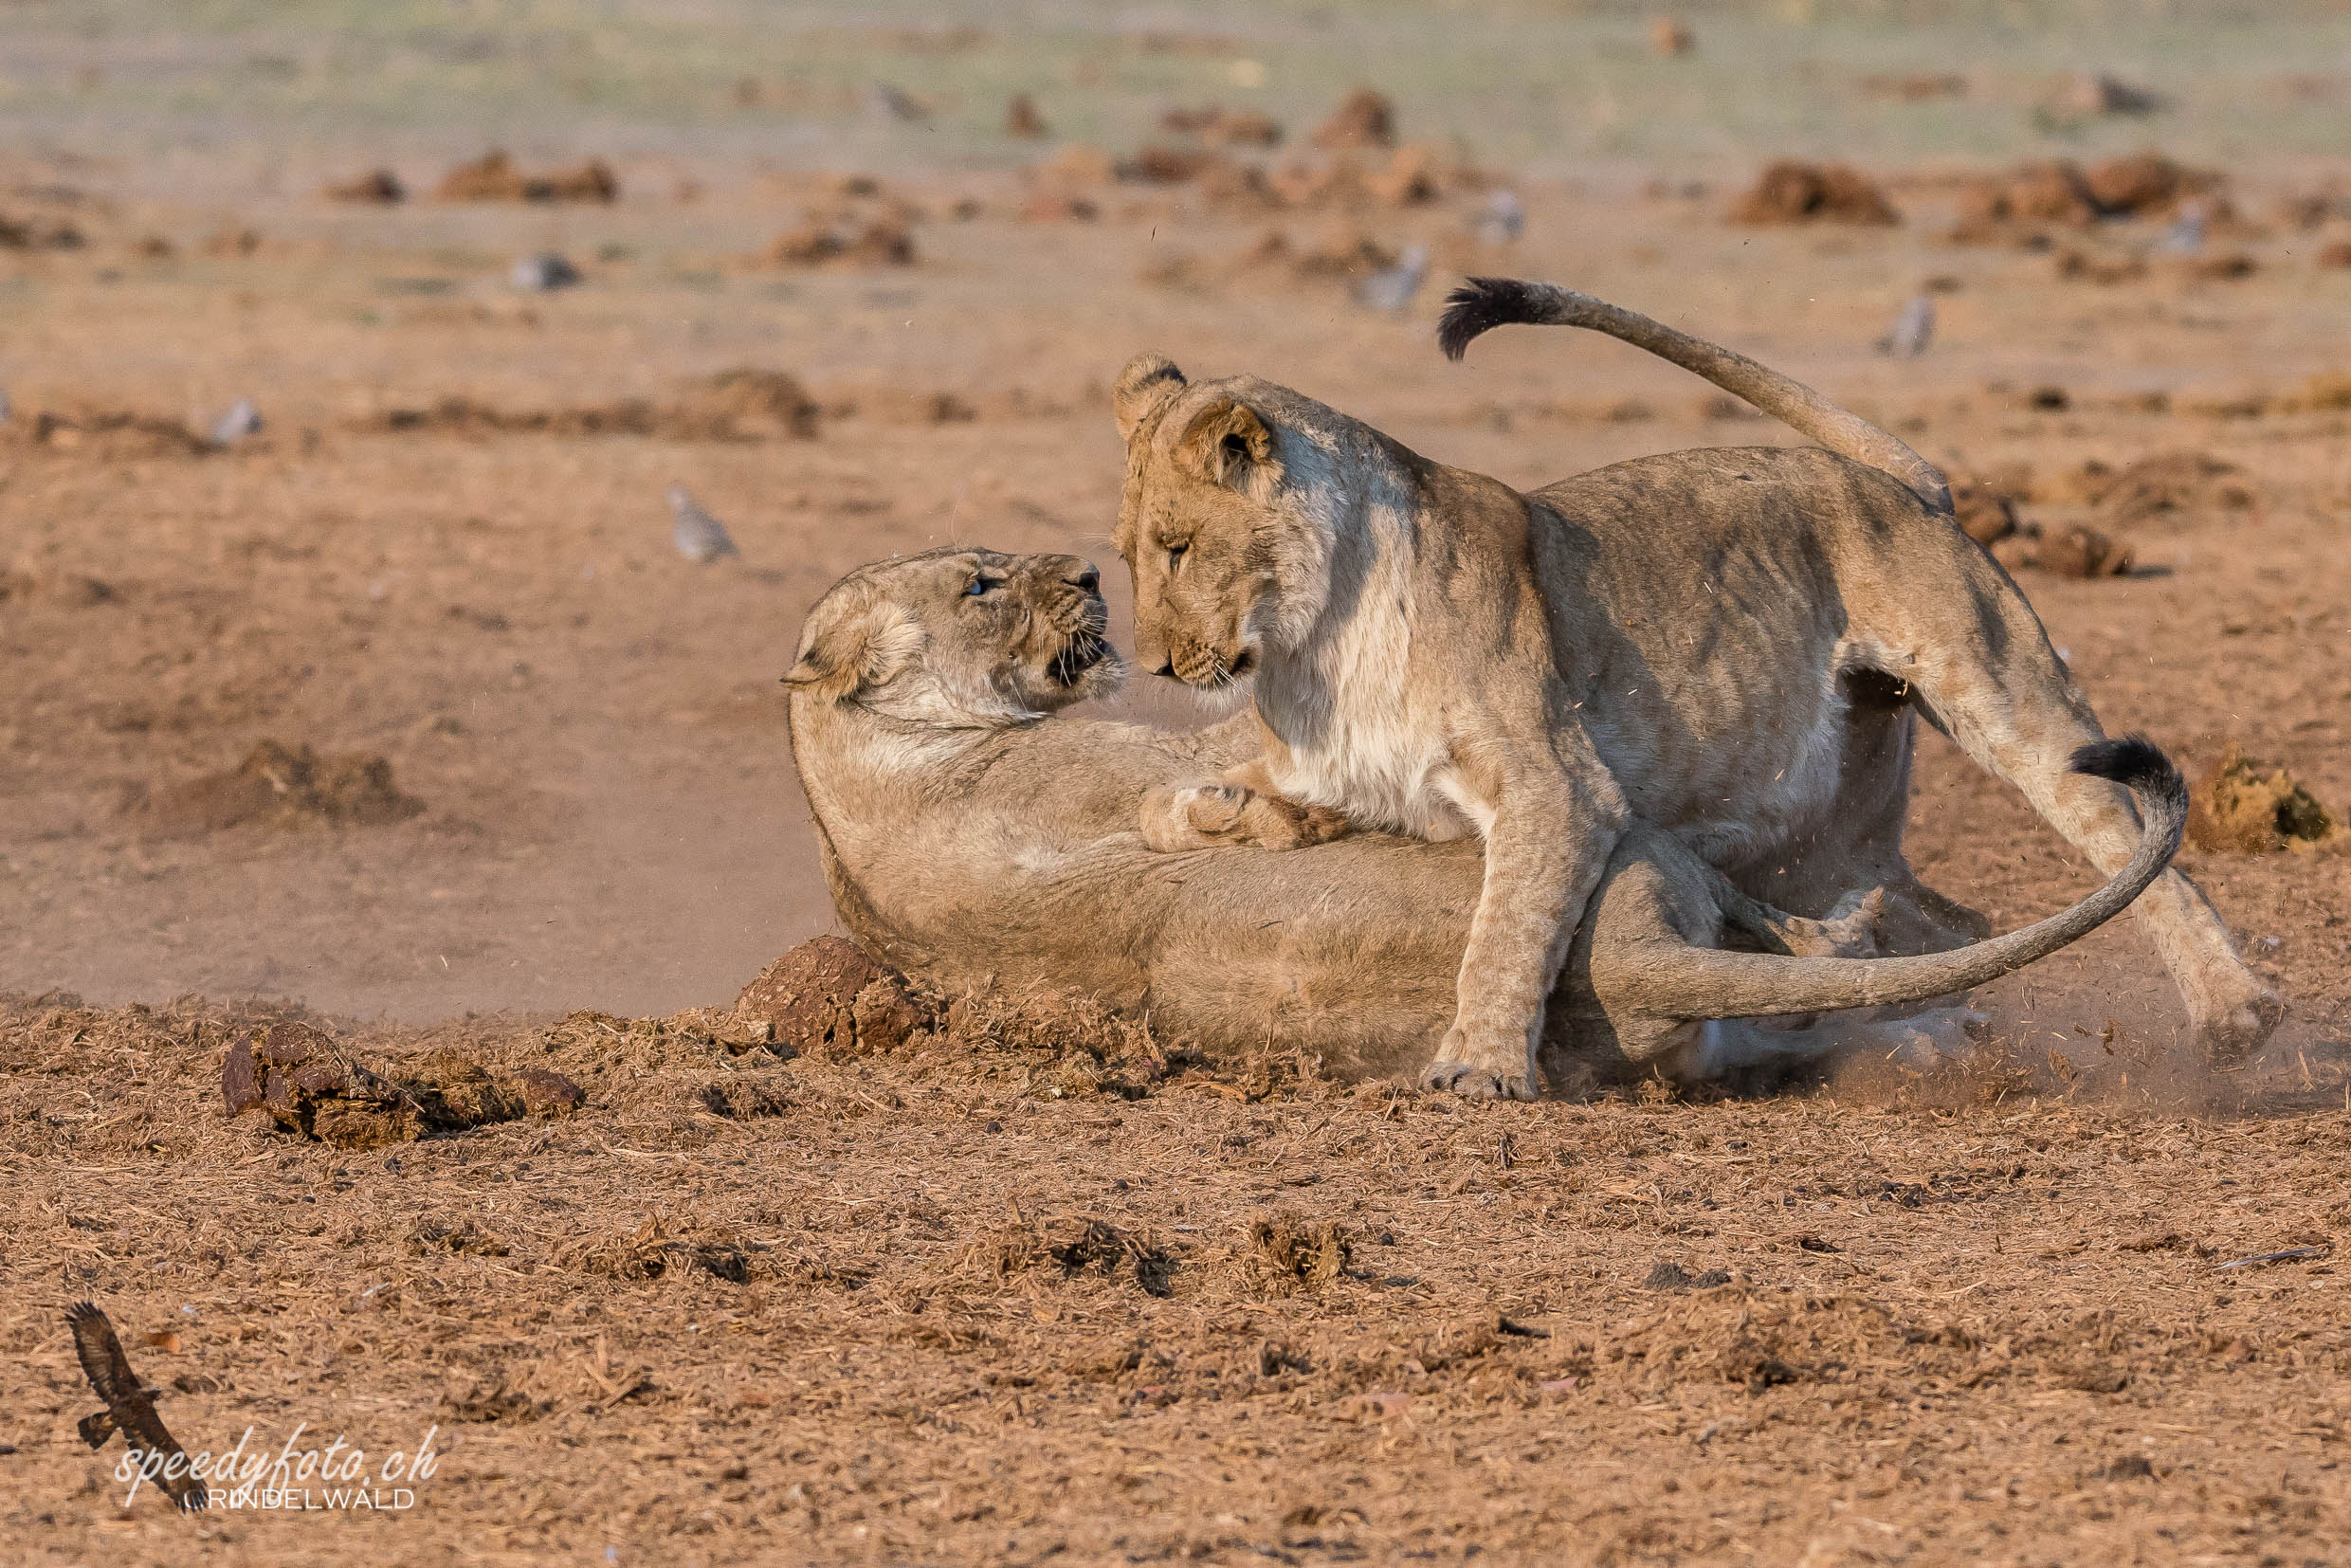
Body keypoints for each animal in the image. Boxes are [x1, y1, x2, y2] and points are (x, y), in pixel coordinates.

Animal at [775, 545, 2181, 1085]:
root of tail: (1630, 960)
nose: (1081, 570)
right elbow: (1238, 768)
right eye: (981, 581)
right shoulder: (1119, 766)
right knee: (1804, 944)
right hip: (1657, 856)